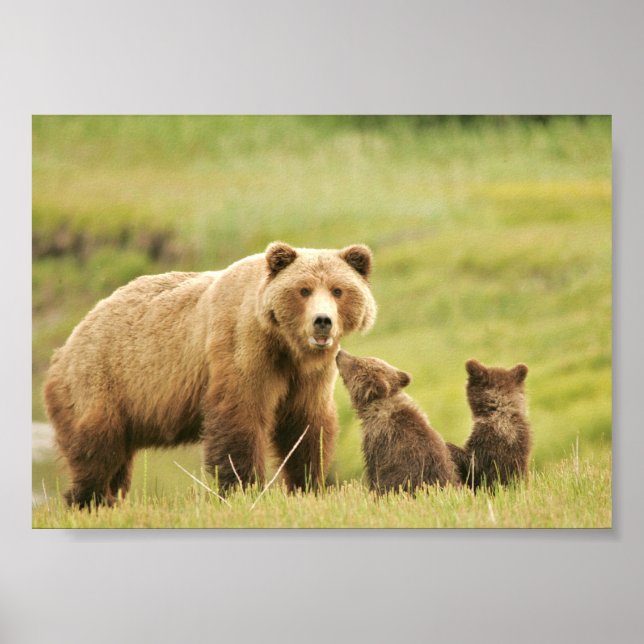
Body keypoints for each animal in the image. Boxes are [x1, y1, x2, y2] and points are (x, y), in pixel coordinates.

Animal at [43, 242, 377, 507]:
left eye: (338, 290)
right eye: (303, 290)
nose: (323, 321)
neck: (286, 346)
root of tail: (64, 348)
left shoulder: (308, 377)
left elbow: (305, 425)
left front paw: (307, 484)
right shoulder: (242, 350)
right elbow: (238, 418)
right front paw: (242, 488)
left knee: (117, 461)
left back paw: (110, 499)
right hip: (101, 381)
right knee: (97, 451)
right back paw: (88, 500)